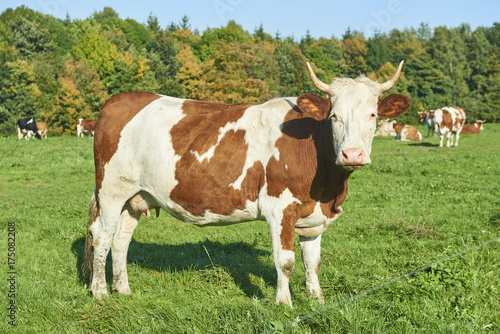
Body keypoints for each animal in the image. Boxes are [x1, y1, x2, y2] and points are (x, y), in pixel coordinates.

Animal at [82, 60, 410, 308]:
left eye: (373, 114)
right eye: (334, 116)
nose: (352, 154)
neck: (328, 188)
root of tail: (119, 99)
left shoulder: (315, 214)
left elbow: (312, 261)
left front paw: (316, 299)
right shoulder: (280, 209)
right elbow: (285, 261)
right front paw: (284, 303)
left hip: (135, 197)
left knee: (121, 240)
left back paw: (123, 289)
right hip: (112, 190)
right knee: (102, 237)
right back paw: (100, 292)